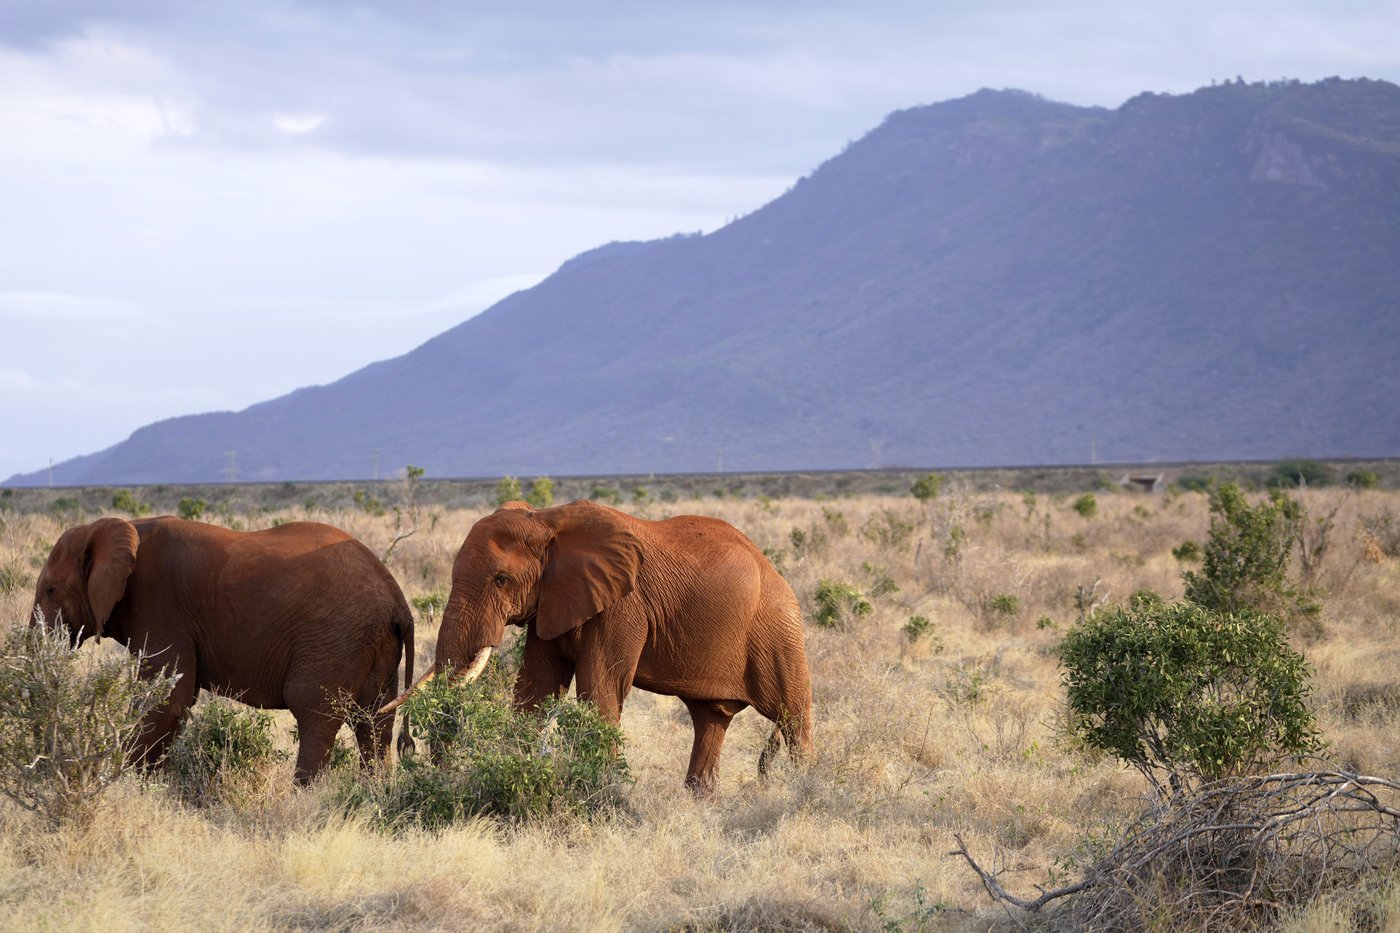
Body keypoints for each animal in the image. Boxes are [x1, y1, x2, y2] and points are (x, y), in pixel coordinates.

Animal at [32, 516, 415, 784]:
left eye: (50, 590)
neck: (115, 527)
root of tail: (397, 598)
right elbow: (175, 699)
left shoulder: (158, 605)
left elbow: (166, 699)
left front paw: (128, 786)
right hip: (374, 642)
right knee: (374, 721)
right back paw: (372, 792)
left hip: (334, 636)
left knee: (315, 715)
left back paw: (302, 801)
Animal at [381, 499, 812, 795]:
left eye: (501, 580)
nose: (409, 747)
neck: (546, 520)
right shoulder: (552, 601)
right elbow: (536, 687)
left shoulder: (623, 605)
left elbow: (599, 688)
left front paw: (606, 790)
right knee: (710, 720)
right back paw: (700, 801)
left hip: (778, 630)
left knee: (792, 716)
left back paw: (806, 787)